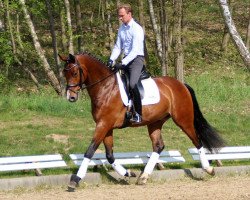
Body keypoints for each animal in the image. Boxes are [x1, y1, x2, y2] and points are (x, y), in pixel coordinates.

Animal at [59, 52, 225, 191]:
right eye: (64, 73)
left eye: (74, 72)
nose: (71, 97)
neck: (105, 88)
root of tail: (181, 84)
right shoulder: (106, 126)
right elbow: (109, 155)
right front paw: (128, 173)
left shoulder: (104, 124)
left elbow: (90, 150)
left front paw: (75, 180)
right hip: (155, 122)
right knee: (158, 146)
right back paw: (143, 177)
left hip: (183, 120)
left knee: (197, 141)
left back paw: (208, 169)